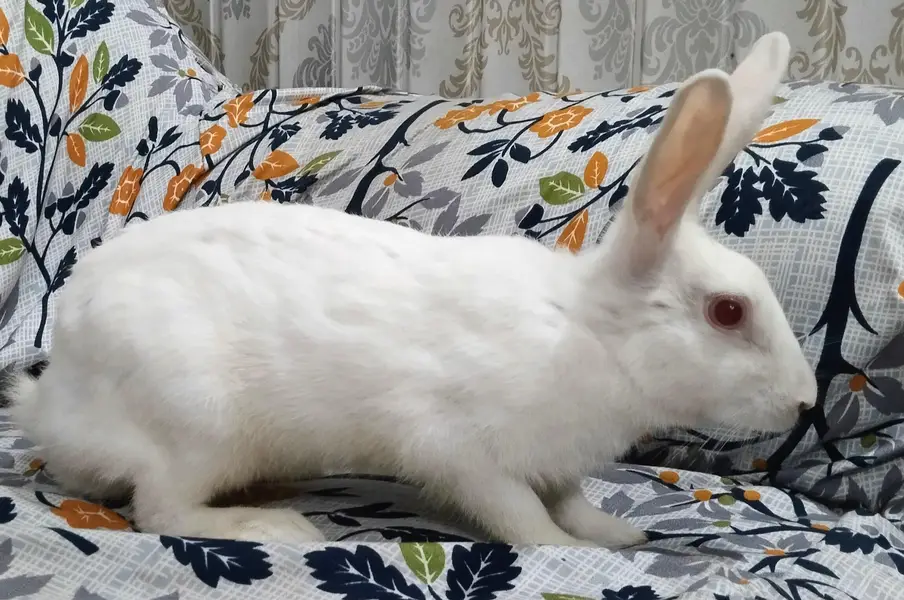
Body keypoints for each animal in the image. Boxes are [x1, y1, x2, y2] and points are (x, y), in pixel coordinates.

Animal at [10, 32, 814, 548]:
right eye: (728, 312)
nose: (804, 402)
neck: (590, 330)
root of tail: (54, 403)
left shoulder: (553, 462)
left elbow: (571, 501)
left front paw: (615, 533)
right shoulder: (464, 453)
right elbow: (523, 519)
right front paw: (574, 552)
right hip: (197, 424)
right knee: (162, 510)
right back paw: (271, 524)